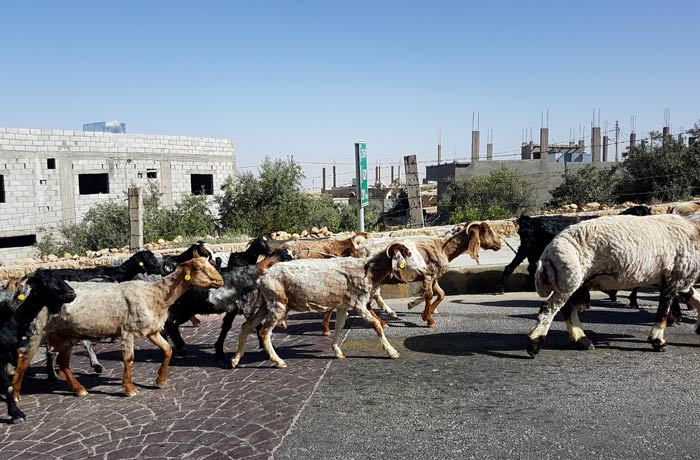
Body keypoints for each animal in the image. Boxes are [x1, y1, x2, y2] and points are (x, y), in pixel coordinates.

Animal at [0, 270, 75, 424]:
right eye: (44, 282)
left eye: (60, 277)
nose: (71, 293)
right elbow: (7, 385)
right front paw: (16, 414)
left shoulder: (9, 355)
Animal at [528, 214, 700, 358]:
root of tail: (548, 253)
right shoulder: (674, 278)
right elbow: (663, 312)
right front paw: (658, 342)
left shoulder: (682, 281)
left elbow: (696, 298)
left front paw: (698, 328)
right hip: (569, 278)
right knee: (550, 308)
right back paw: (535, 344)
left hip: (574, 283)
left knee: (567, 308)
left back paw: (582, 340)